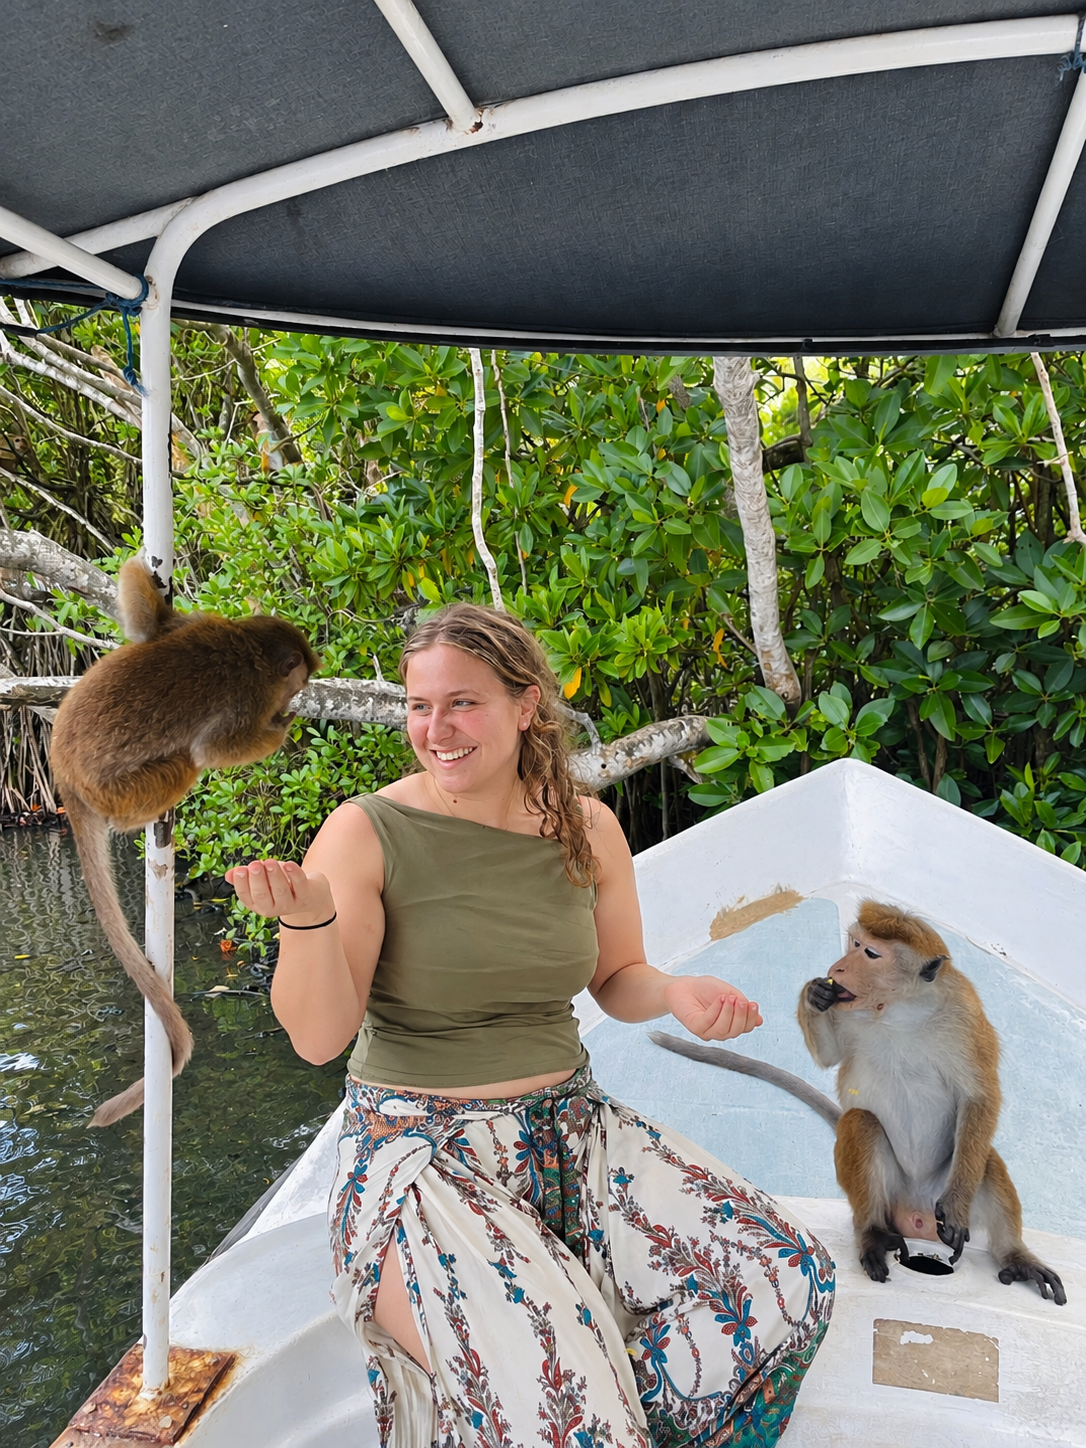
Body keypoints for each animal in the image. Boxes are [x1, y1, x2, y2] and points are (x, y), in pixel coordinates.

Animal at [50, 557, 319, 1127]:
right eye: (297, 680)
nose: (294, 699)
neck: (245, 647)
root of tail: (62, 779)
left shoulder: (196, 623)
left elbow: (145, 618)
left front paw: (144, 575)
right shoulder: (245, 701)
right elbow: (215, 751)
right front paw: (282, 727)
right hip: (121, 793)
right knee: (186, 764)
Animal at [795, 900, 1065, 1304]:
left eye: (871, 953)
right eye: (855, 943)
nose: (838, 968)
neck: (899, 1009)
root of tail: (915, 1218)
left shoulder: (964, 1016)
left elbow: (980, 1096)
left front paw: (955, 1208)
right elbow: (830, 1056)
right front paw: (814, 994)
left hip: (948, 1184)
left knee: (985, 1159)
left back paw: (1015, 1256)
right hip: (891, 1195)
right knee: (860, 1122)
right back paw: (872, 1234)